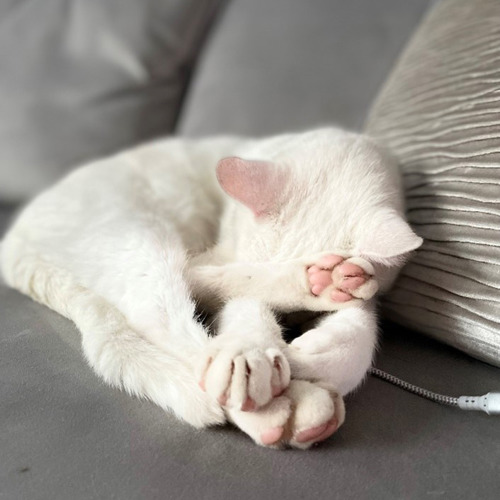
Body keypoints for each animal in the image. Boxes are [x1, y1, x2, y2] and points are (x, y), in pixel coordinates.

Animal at [0, 127, 422, 448]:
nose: (290, 319)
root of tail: (15, 238)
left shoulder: (367, 289)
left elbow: (360, 326)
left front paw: (314, 352)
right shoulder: (208, 263)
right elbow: (242, 292)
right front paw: (255, 356)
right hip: (144, 243)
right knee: (172, 330)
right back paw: (280, 402)